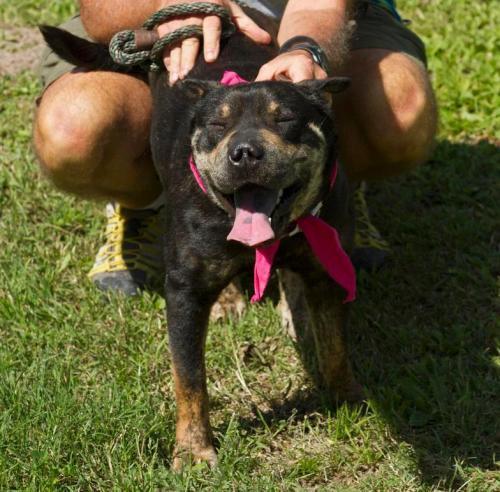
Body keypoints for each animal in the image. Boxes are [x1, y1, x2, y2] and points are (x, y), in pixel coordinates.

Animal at [40, 10, 364, 468]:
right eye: (217, 124)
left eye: (284, 119)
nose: (244, 152)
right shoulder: (185, 293)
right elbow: (190, 378)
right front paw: (194, 451)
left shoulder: (328, 270)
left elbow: (335, 345)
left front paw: (347, 400)